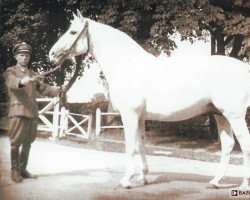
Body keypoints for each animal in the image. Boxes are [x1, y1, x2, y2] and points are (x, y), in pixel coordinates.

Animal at [48, 10, 250, 189]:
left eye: (73, 32)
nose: (52, 55)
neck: (127, 64)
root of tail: (244, 68)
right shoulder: (140, 117)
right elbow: (140, 144)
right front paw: (142, 177)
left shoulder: (129, 115)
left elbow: (130, 146)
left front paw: (126, 181)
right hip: (220, 114)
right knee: (228, 144)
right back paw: (215, 181)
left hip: (234, 116)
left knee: (245, 143)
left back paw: (244, 184)